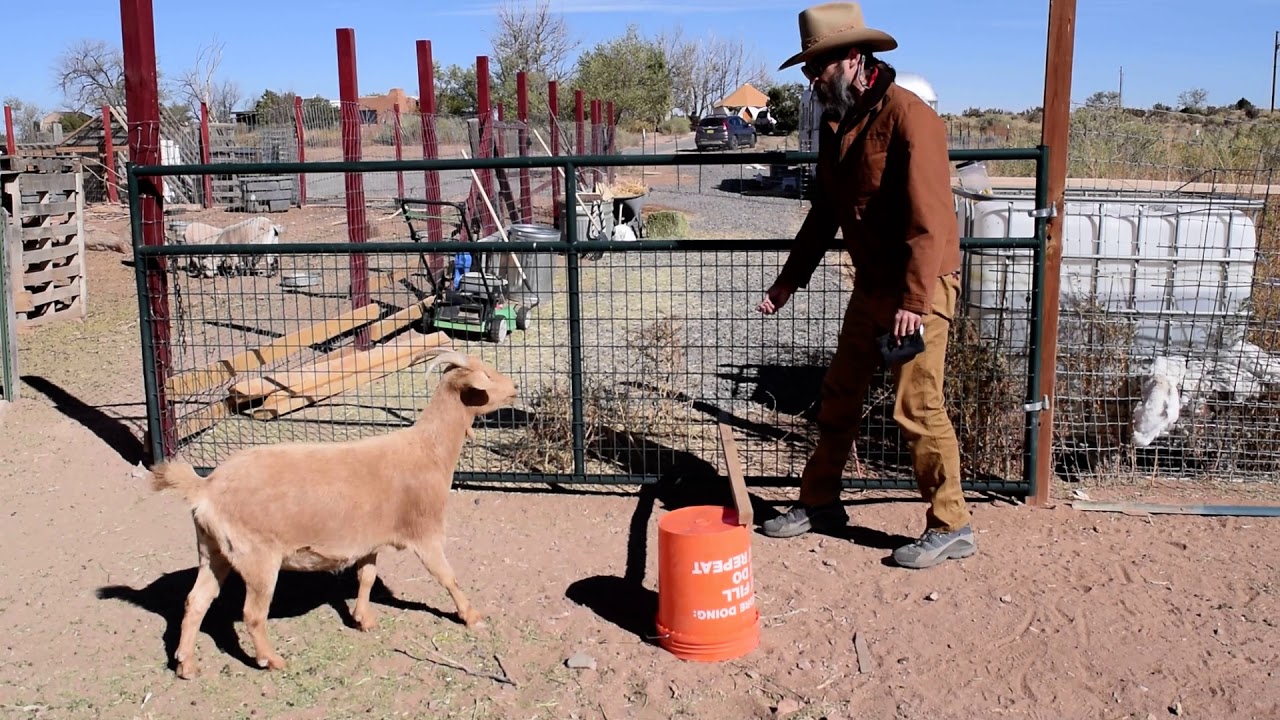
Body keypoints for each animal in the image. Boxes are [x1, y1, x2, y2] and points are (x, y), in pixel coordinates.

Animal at [149, 349, 517, 679]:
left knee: (196, 601)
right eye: (487, 375)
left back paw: (186, 665)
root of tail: (206, 487)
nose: (514, 386)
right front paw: (472, 616)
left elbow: (366, 576)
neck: (430, 449)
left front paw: (363, 619)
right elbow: (447, 577)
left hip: (214, 550)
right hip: (257, 558)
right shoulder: (424, 532)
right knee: (252, 614)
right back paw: (272, 660)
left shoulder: (370, 539)